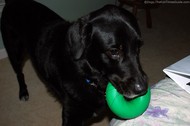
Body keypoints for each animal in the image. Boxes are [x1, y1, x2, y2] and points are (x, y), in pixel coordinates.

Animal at [1, 0, 148, 125]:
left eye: (138, 47)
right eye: (114, 51)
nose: (143, 89)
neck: (86, 74)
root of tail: (11, 2)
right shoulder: (71, 114)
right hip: (15, 51)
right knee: (19, 73)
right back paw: (23, 92)